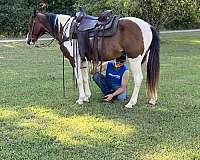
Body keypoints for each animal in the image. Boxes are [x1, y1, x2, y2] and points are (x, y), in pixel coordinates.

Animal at [27, 9, 161, 107]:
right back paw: (152, 99)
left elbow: (79, 80)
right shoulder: (83, 60)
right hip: (145, 59)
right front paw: (87, 97)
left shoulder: (74, 60)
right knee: (151, 75)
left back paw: (131, 103)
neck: (67, 31)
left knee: (139, 79)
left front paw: (81, 99)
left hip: (135, 59)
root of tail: (148, 26)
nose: (28, 40)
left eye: (31, 23)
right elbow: (85, 78)